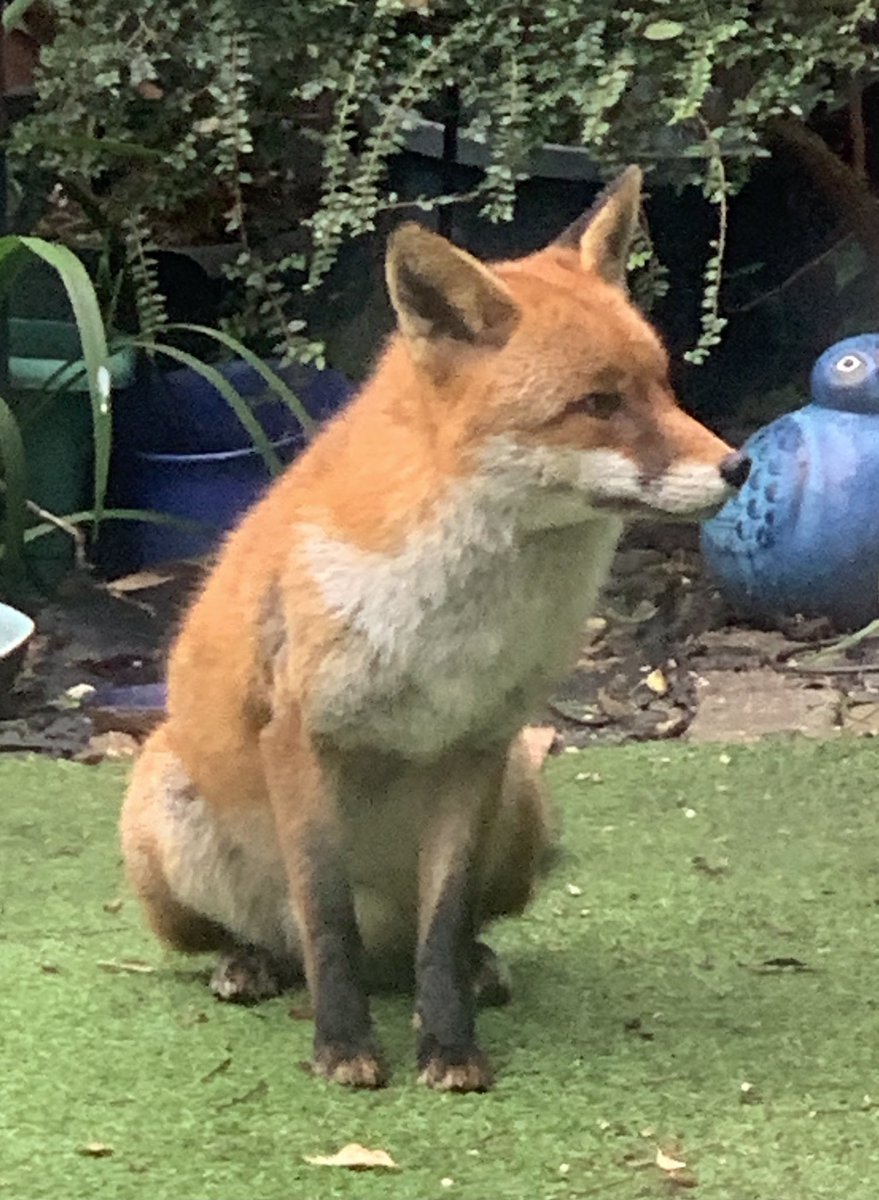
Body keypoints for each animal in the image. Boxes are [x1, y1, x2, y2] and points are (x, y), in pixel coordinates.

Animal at [120, 165, 750, 1093]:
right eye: (597, 403)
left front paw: (448, 1042)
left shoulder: (475, 745)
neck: (457, 623)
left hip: (520, 796)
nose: (738, 466)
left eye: (662, 385)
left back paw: (473, 967)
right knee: (282, 940)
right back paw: (252, 963)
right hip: (163, 814)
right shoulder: (300, 737)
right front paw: (342, 1046)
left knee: (436, 936)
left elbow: (444, 924)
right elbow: (326, 918)